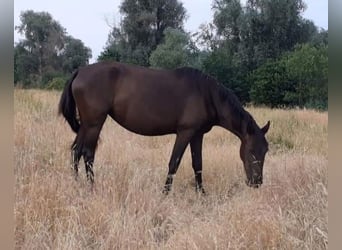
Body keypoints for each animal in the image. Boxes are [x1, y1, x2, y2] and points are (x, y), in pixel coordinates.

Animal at [58, 61, 270, 194]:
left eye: (265, 151)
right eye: (251, 151)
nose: (257, 182)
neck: (207, 95)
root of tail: (80, 71)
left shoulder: (197, 135)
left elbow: (198, 164)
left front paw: (201, 193)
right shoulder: (185, 133)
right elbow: (174, 163)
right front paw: (165, 193)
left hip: (86, 125)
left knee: (76, 151)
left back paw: (76, 183)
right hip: (95, 123)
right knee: (88, 154)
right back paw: (92, 188)